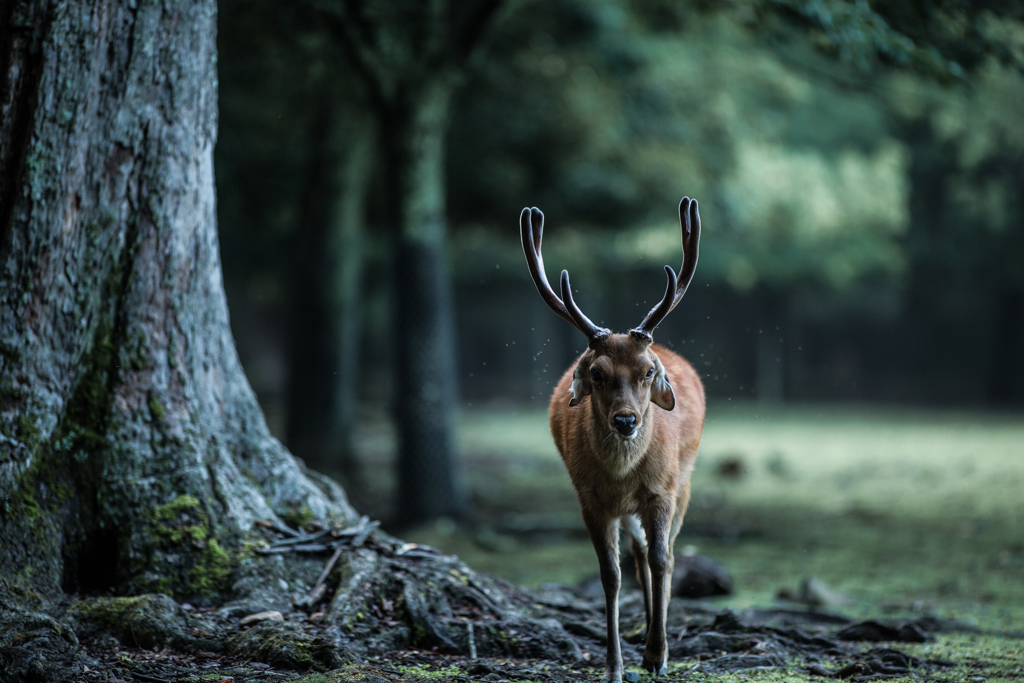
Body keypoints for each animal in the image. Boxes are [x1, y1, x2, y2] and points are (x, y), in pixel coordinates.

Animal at [520, 198, 704, 683]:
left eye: (647, 371)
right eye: (597, 373)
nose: (626, 420)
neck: (622, 475)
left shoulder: (662, 489)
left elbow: (661, 560)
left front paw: (658, 656)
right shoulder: (590, 498)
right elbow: (611, 575)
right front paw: (614, 666)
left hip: (686, 482)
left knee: (667, 556)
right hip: (627, 509)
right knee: (637, 558)